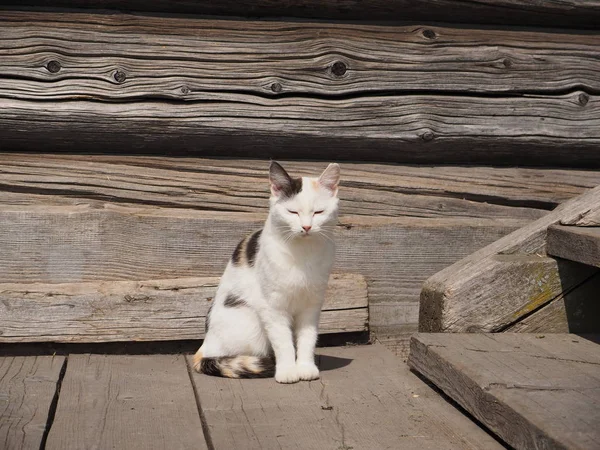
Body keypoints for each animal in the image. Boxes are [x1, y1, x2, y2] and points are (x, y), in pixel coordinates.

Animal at [195, 162, 340, 384]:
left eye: (318, 212)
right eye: (293, 212)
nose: (306, 227)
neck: (303, 254)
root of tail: (203, 347)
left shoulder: (312, 306)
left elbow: (307, 338)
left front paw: (305, 367)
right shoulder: (272, 307)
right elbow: (283, 342)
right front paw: (288, 370)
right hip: (250, 323)